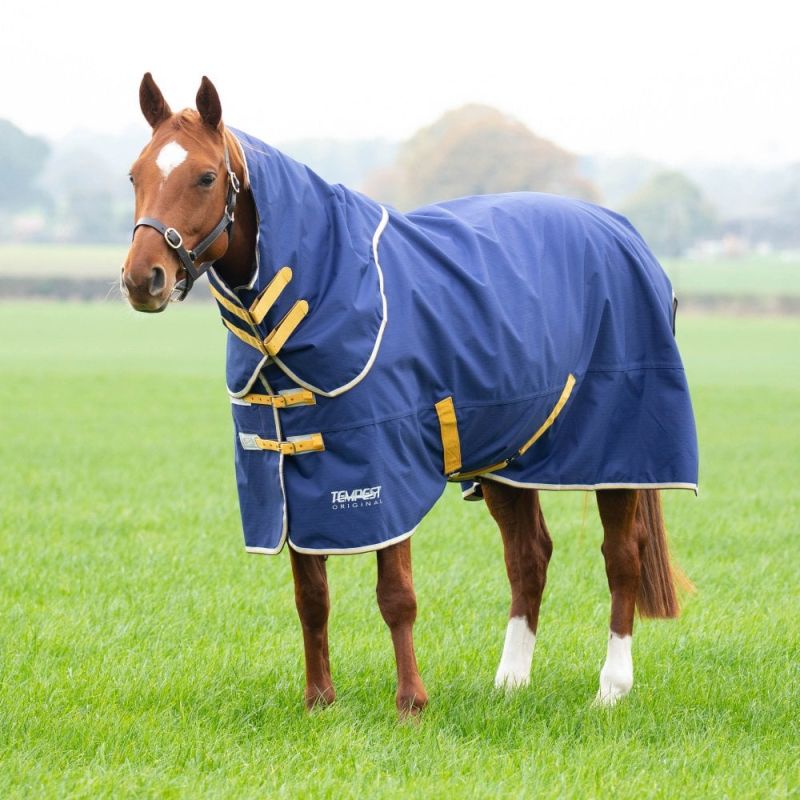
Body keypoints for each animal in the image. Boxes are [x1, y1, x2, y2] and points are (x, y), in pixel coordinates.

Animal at [122, 73, 697, 715]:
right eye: (136, 175)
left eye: (204, 176)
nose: (142, 279)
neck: (316, 294)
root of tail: (625, 233)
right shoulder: (292, 473)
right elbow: (311, 597)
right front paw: (319, 700)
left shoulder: (381, 473)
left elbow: (395, 594)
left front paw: (410, 704)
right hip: (510, 456)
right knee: (529, 559)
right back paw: (510, 683)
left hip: (617, 452)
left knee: (621, 558)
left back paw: (611, 688)